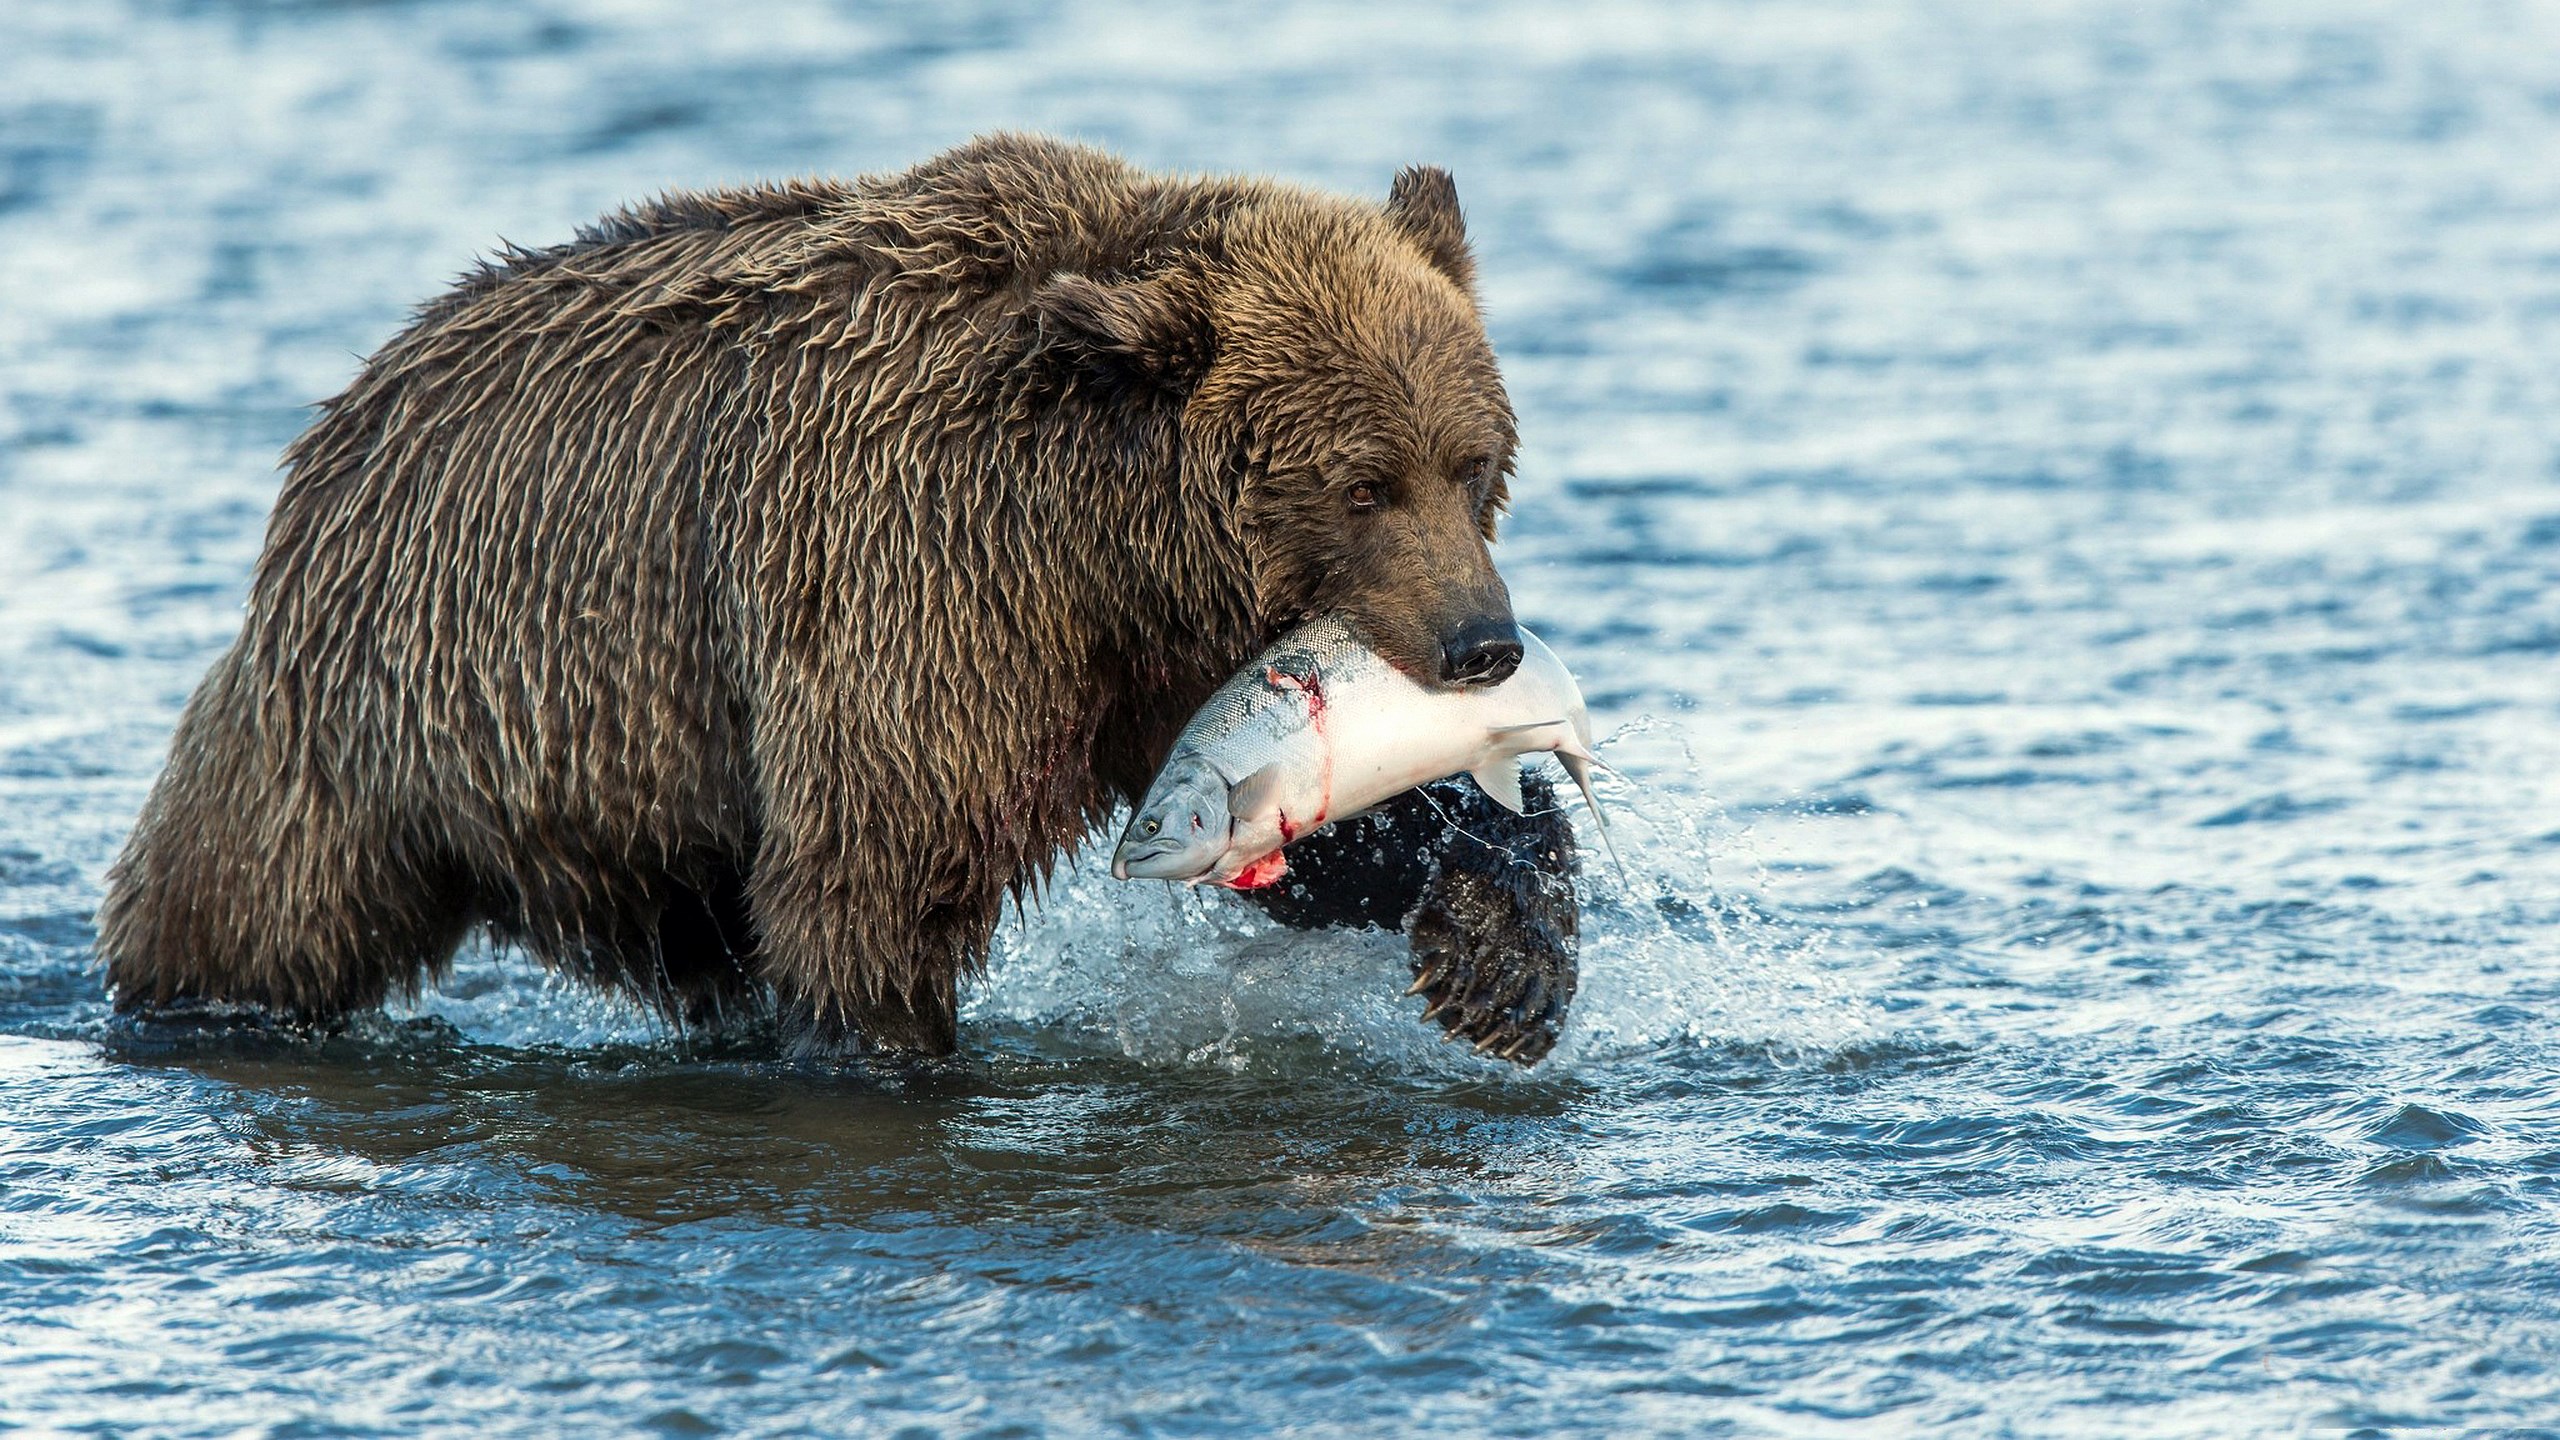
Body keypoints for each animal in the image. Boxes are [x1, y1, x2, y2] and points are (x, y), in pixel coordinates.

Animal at [98, 133, 1581, 1061]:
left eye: (1471, 461)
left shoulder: (1141, 662)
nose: (1482, 645)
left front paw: (1498, 958)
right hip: (394, 708)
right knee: (252, 901)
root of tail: (344, 415)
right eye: (1361, 483)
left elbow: (1322, 831)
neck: (1103, 536)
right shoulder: (913, 582)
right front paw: (895, 1042)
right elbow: (878, 876)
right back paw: (186, 1001)